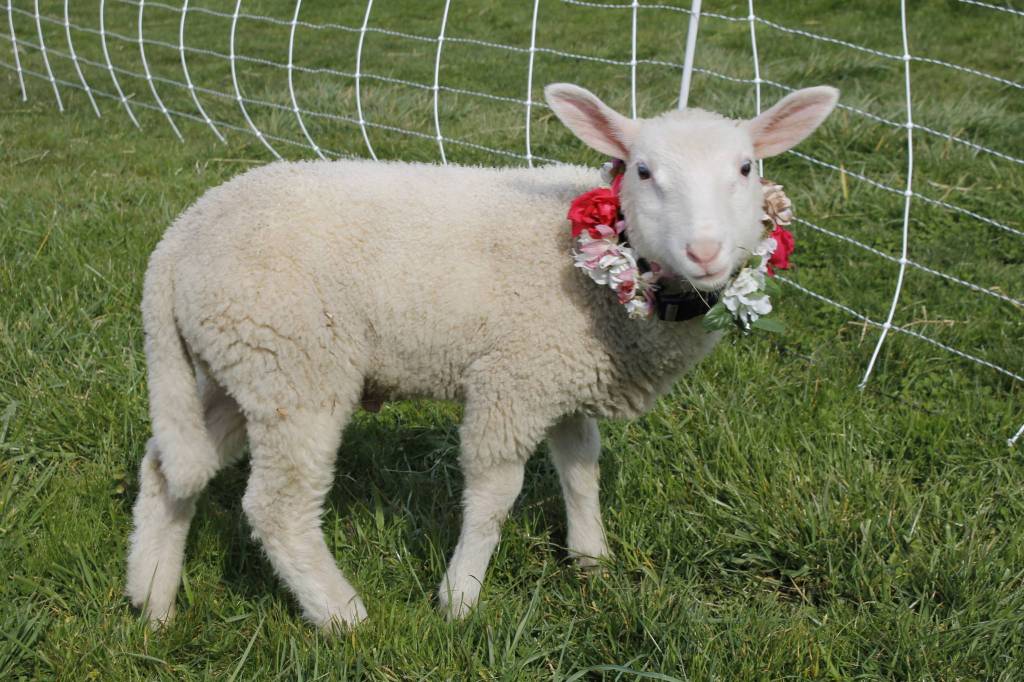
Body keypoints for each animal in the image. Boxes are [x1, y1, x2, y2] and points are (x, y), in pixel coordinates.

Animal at [126, 82, 838, 629]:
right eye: (641, 171)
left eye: (746, 169)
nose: (705, 252)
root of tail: (175, 243)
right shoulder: (513, 379)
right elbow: (496, 494)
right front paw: (459, 598)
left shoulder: (564, 375)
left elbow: (580, 468)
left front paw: (591, 559)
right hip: (294, 366)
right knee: (275, 508)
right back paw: (342, 616)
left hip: (238, 367)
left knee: (169, 468)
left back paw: (153, 599)